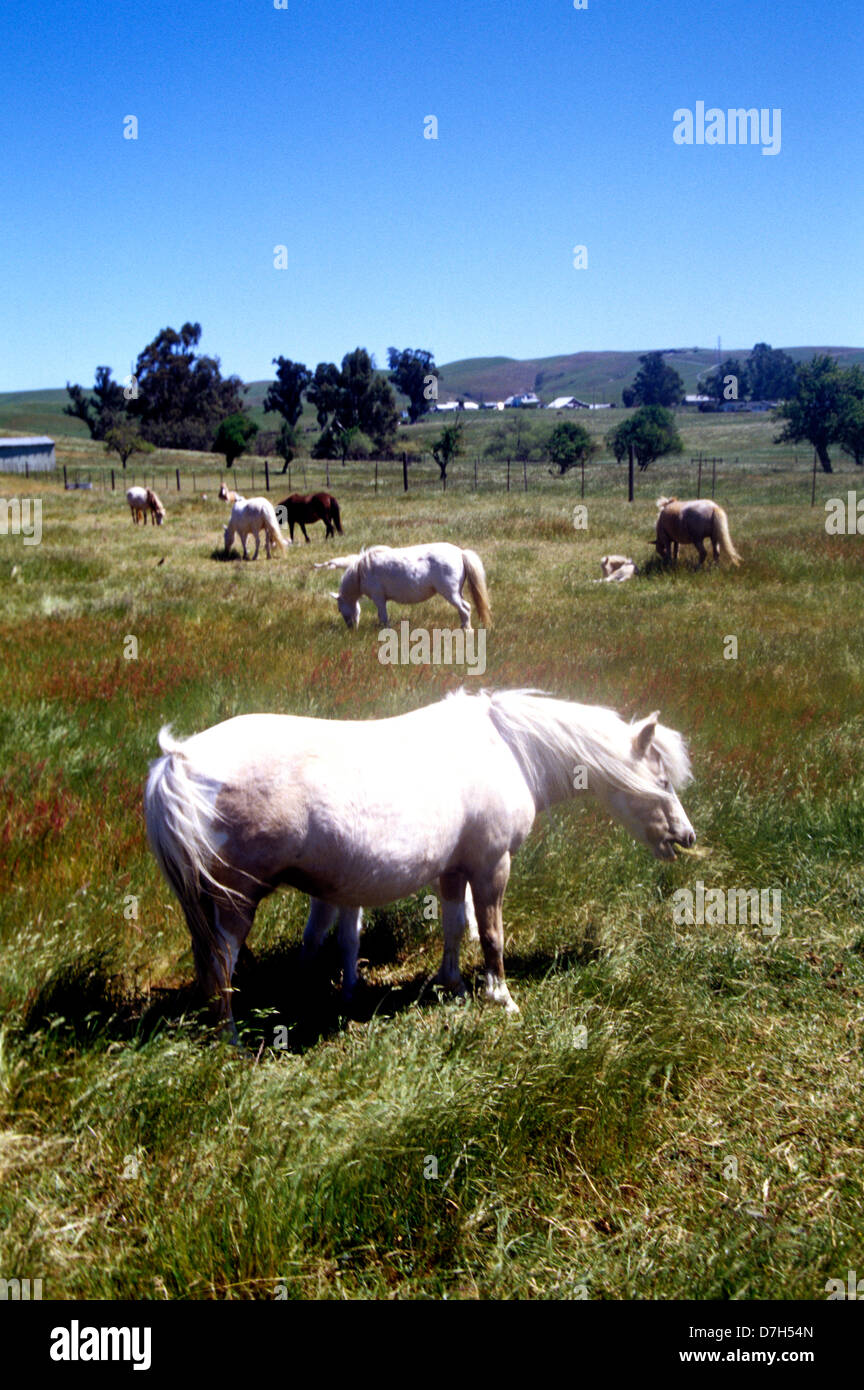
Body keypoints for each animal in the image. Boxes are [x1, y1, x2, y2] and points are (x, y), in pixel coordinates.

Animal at [143, 689, 697, 1039]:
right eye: (662, 780)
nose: (686, 837)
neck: (506, 749)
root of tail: (179, 760)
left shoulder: (453, 870)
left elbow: (453, 925)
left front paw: (452, 983)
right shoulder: (492, 865)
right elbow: (492, 934)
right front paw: (501, 997)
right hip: (235, 903)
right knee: (221, 964)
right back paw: (233, 1041)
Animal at [312, 542, 491, 631]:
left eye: (339, 609)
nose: (351, 629)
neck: (361, 572)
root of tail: (460, 552)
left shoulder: (379, 598)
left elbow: (383, 616)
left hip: (450, 593)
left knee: (465, 608)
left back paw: (467, 630)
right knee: (463, 609)